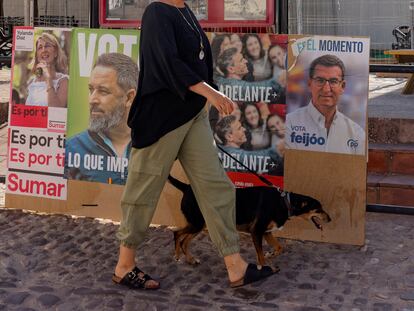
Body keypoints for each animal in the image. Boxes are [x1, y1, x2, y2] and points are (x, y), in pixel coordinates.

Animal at [167, 176, 332, 266]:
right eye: (319, 209)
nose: (330, 219)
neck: (284, 202)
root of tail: (187, 187)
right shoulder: (256, 231)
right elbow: (260, 256)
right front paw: (264, 267)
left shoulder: (266, 232)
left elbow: (279, 247)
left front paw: (271, 254)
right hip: (197, 223)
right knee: (177, 234)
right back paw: (177, 256)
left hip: (200, 224)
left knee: (184, 240)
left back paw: (190, 259)